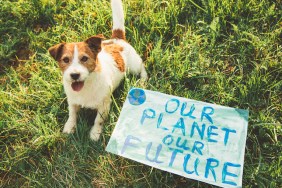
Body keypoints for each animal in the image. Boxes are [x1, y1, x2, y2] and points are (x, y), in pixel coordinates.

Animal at [48, 0, 148, 141]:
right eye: (65, 60)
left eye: (84, 58)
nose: (74, 75)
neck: (86, 86)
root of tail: (118, 39)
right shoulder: (72, 101)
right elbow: (72, 114)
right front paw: (69, 127)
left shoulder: (104, 105)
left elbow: (98, 121)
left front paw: (95, 133)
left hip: (134, 65)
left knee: (142, 67)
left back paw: (143, 80)